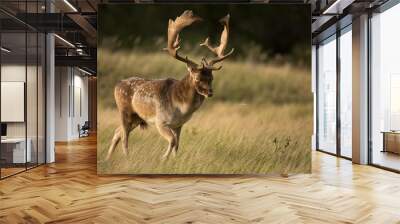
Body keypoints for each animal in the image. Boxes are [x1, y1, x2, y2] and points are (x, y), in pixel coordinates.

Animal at [106, 10, 234, 160]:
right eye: (197, 78)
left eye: (211, 78)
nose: (210, 92)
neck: (181, 108)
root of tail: (116, 85)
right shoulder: (160, 121)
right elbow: (172, 141)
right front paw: (163, 158)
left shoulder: (179, 125)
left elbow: (177, 144)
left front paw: (173, 159)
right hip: (124, 111)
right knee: (124, 136)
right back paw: (127, 156)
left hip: (137, 118)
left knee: (117, 132)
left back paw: (108, 158)